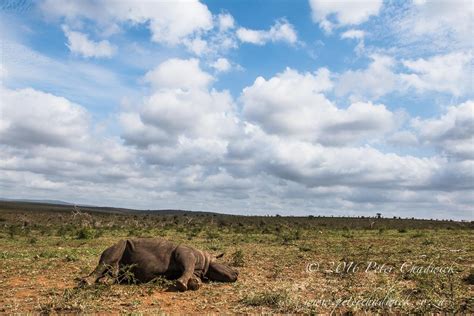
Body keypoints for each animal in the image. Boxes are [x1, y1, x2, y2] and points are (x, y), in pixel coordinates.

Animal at [80, 237, 241, 292]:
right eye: (226, 264)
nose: (237, 274)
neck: (206, 259)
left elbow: (193, 274)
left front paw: (195, 283)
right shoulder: (185, 253)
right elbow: (188, 267)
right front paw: (182, 285)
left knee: (114, 270)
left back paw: (106, 281)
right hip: (117, 244)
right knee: (108, 256)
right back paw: (87, 282)